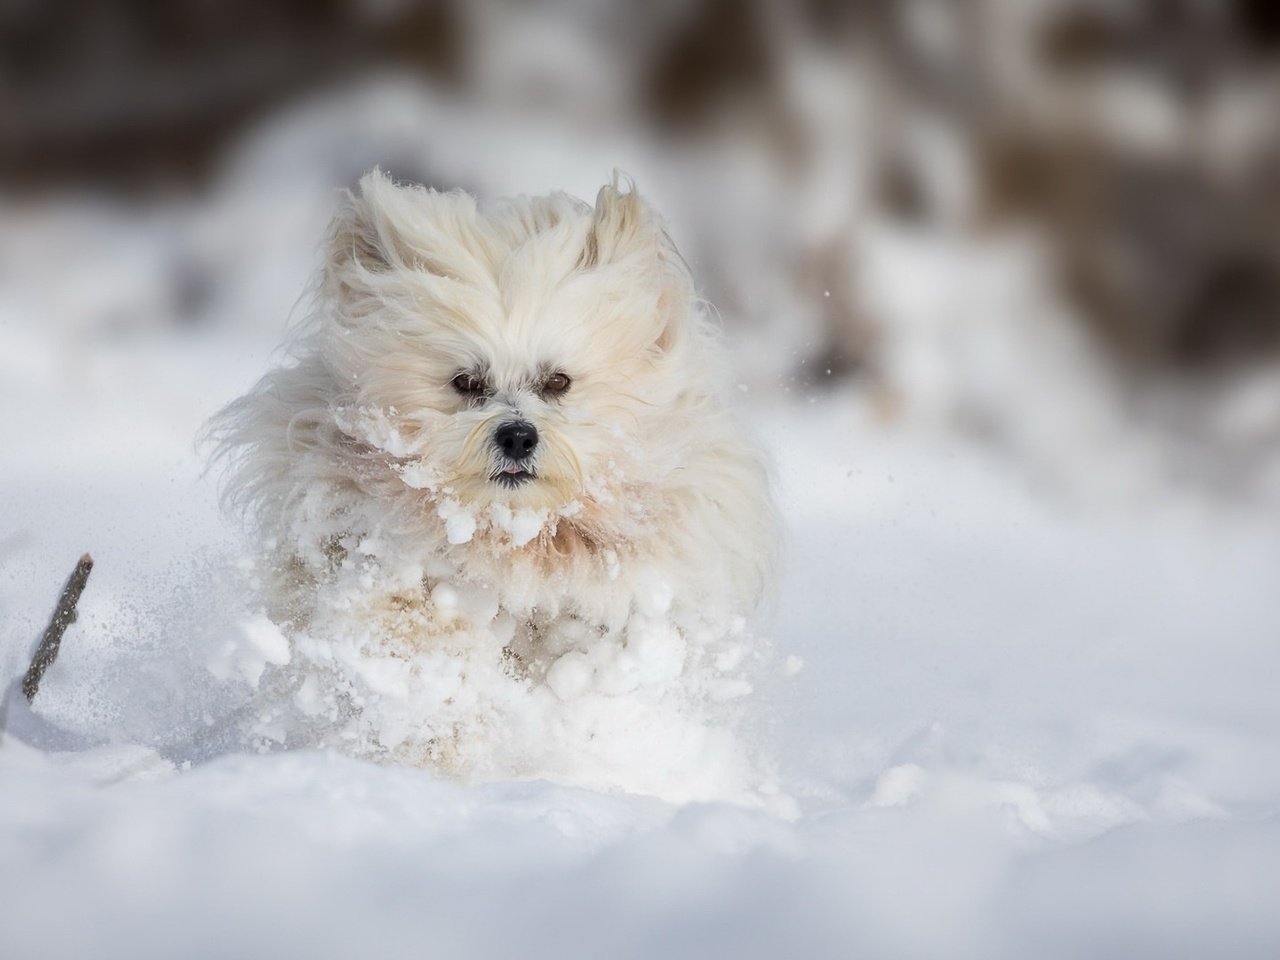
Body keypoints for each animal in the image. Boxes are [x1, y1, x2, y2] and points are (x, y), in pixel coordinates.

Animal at [208, 171, 773, 788]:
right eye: (465, 381)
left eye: (558, 381)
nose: (518, 437)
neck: (513, 534)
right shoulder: (360, 545)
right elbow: (413, 637)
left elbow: (592, 647)